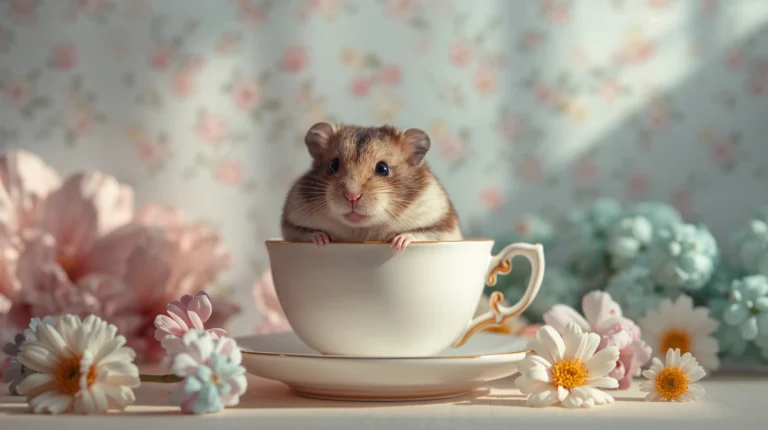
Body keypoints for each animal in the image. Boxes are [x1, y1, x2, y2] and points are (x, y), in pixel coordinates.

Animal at [281, 122, 463, 251]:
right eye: (333, 165)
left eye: (383, 168)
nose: (352, 196)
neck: (362, 229)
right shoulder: (291, 224)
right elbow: (305, 232)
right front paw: (322, 240)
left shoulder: (443, 226)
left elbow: (421, 233)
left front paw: (399, 242)